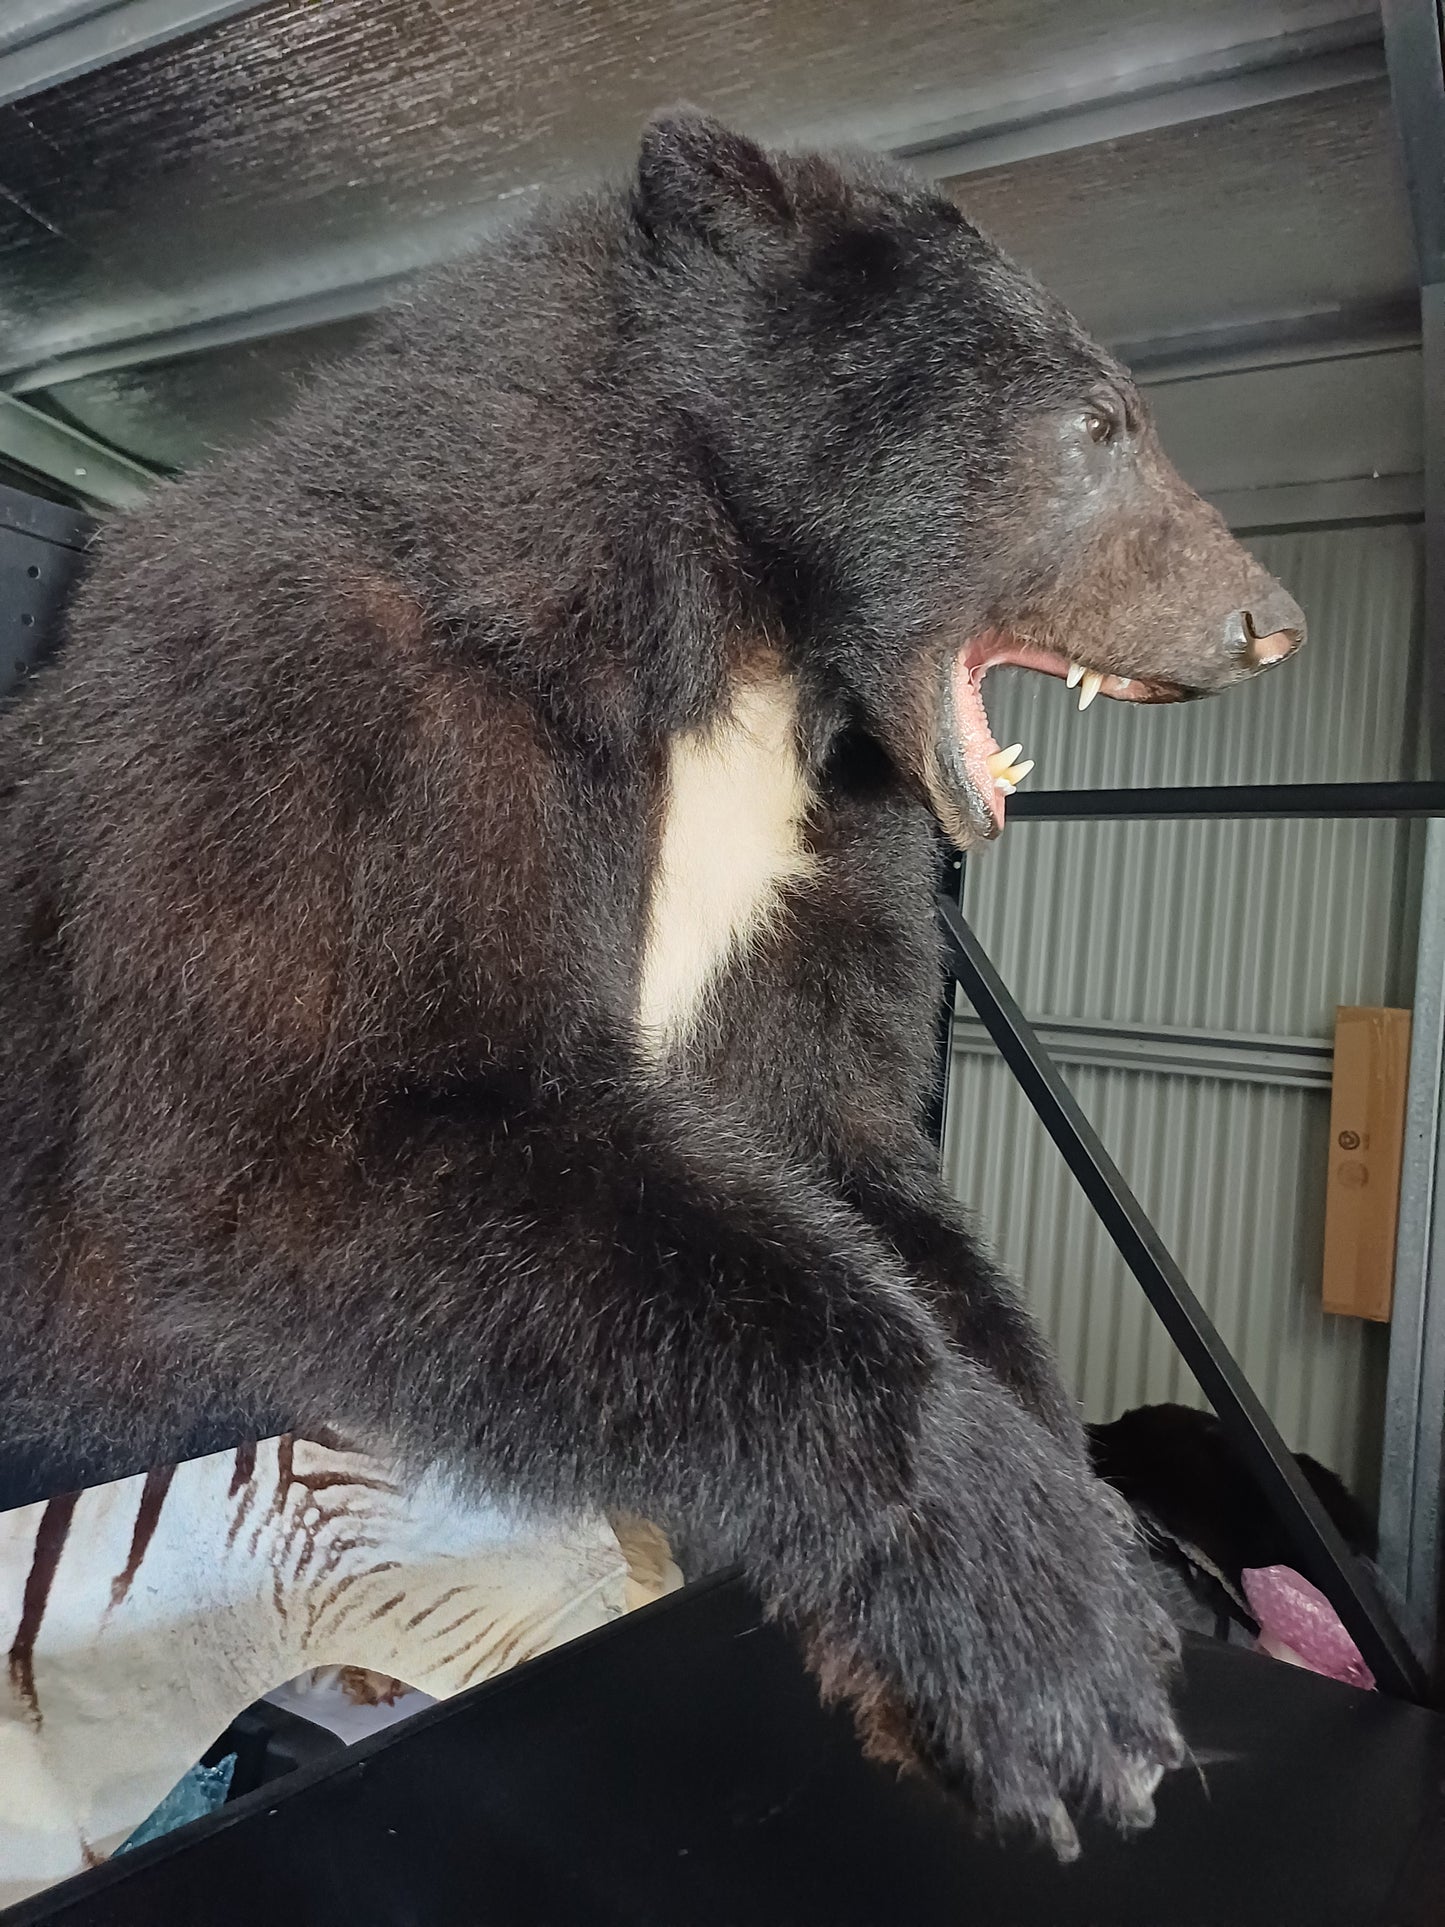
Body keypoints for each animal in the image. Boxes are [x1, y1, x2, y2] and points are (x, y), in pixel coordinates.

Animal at [0, 111, 1304, 1854]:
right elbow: (310, 1139)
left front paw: (1112, 1551)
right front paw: (1044, 1643)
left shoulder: (821, 850)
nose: (1267, 620)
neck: (727, 642)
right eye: (1096, 422)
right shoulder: (343, 736)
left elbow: (848, 1146)